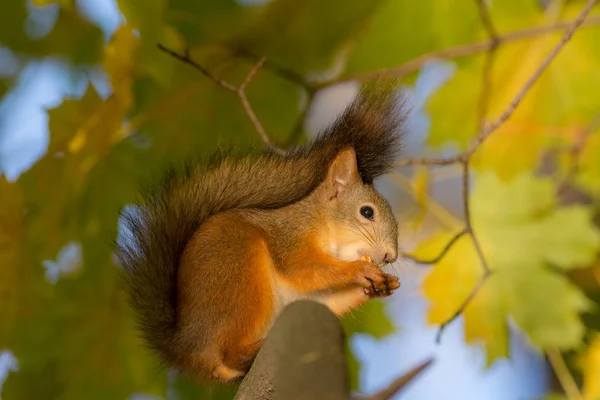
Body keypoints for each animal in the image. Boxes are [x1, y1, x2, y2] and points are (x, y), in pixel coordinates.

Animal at [116, 85, 408, 384]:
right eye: (367, 212)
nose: (390, 255)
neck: (322, 227)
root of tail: (186, 347)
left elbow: (326, 297)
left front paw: (384, 284)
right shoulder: (289, 236)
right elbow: (301, 269)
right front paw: (360, 270)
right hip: (239, 274)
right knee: (229, 353)